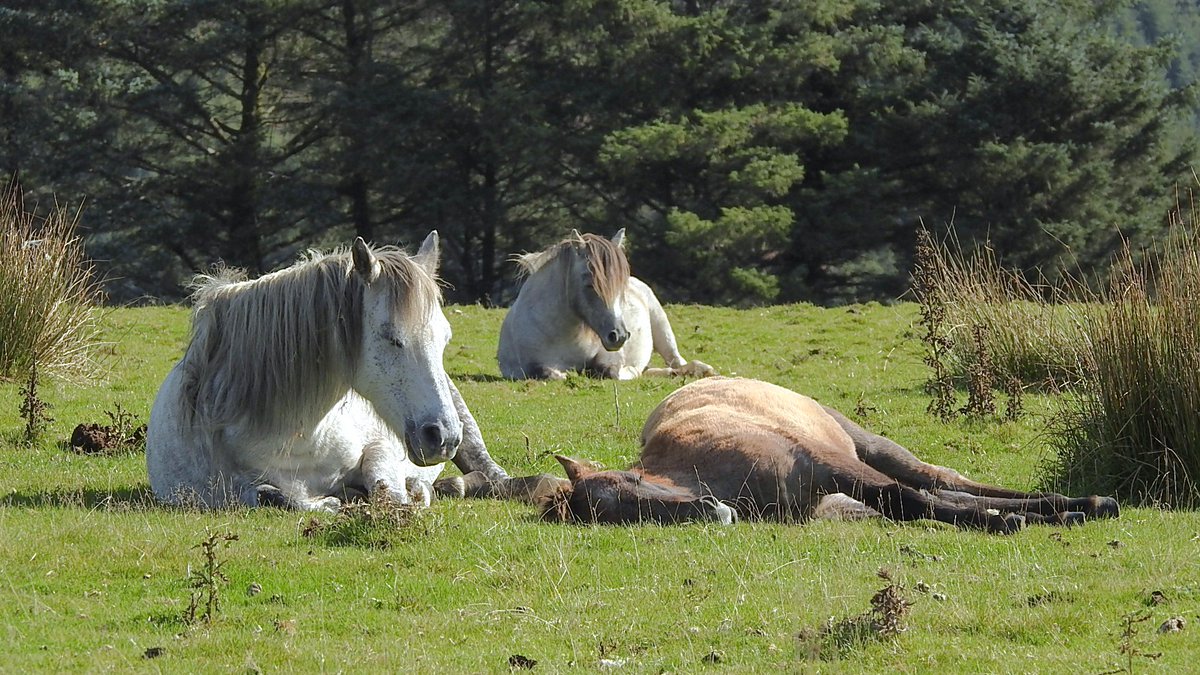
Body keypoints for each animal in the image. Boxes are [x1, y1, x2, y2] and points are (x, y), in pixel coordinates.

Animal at [146, 232, 512, 511]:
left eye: (445, 338)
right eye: (391, 337)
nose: (441, 437)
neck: (301, 435)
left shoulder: (381, 448)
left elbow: (388, 491)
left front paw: (413, 493)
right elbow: (279, 497)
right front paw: (334, 501)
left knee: (491, 474)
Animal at [497, 229, 715, 380]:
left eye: (621, 284)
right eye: (589, 284)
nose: (619, 336)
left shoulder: (611, 358)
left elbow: (612, 371)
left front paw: (629, 371)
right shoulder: (524, 367)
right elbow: (550, 373)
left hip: (662, 327)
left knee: (677, 360)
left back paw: (701, 370)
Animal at [541, 377, 1119, 533]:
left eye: (635, 484)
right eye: (628, 517)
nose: (711, 511)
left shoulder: (827, 465)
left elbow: (908, 499)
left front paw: (1002, 521)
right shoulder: (826, 495)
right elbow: (910, 505)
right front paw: (1003, 521)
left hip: (869, 451)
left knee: (939, 480)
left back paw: (1081, 503)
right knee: (943, 491)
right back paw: (1063, 510)